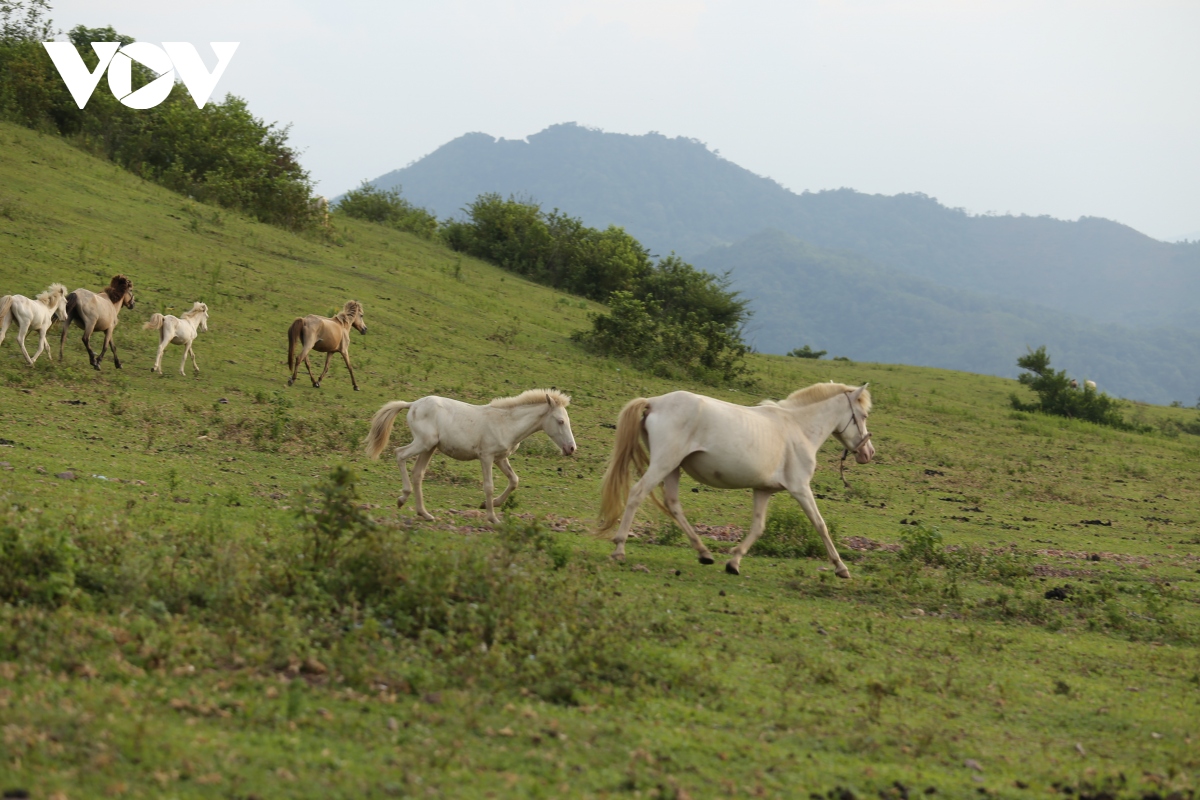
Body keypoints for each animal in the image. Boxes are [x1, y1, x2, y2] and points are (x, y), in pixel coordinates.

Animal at [362, 388, 578, 525]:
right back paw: (402, 499)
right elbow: (489, 486)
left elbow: (514, 480)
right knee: (400, 454)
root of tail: (413, 404)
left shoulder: (500, 458)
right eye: (560, 421)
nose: (571, 448)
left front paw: (488, 505)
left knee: (418, 473)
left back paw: (424, 514)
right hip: (423, 443)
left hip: (429, 447)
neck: (506, 423)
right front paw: (492, 517)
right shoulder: (487, 457)